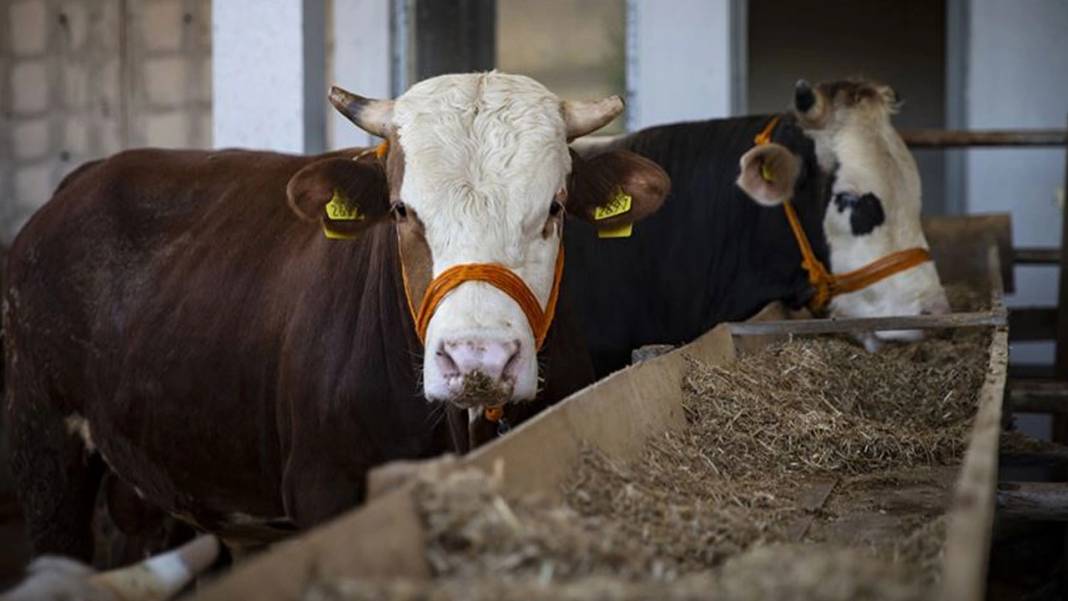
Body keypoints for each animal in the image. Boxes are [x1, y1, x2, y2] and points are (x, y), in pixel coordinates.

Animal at [2, 74, 666, 559]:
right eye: (401, 210)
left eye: (553, 207)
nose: (478, 358)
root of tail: (86, 176)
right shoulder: (323, 487)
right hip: (43, 451)